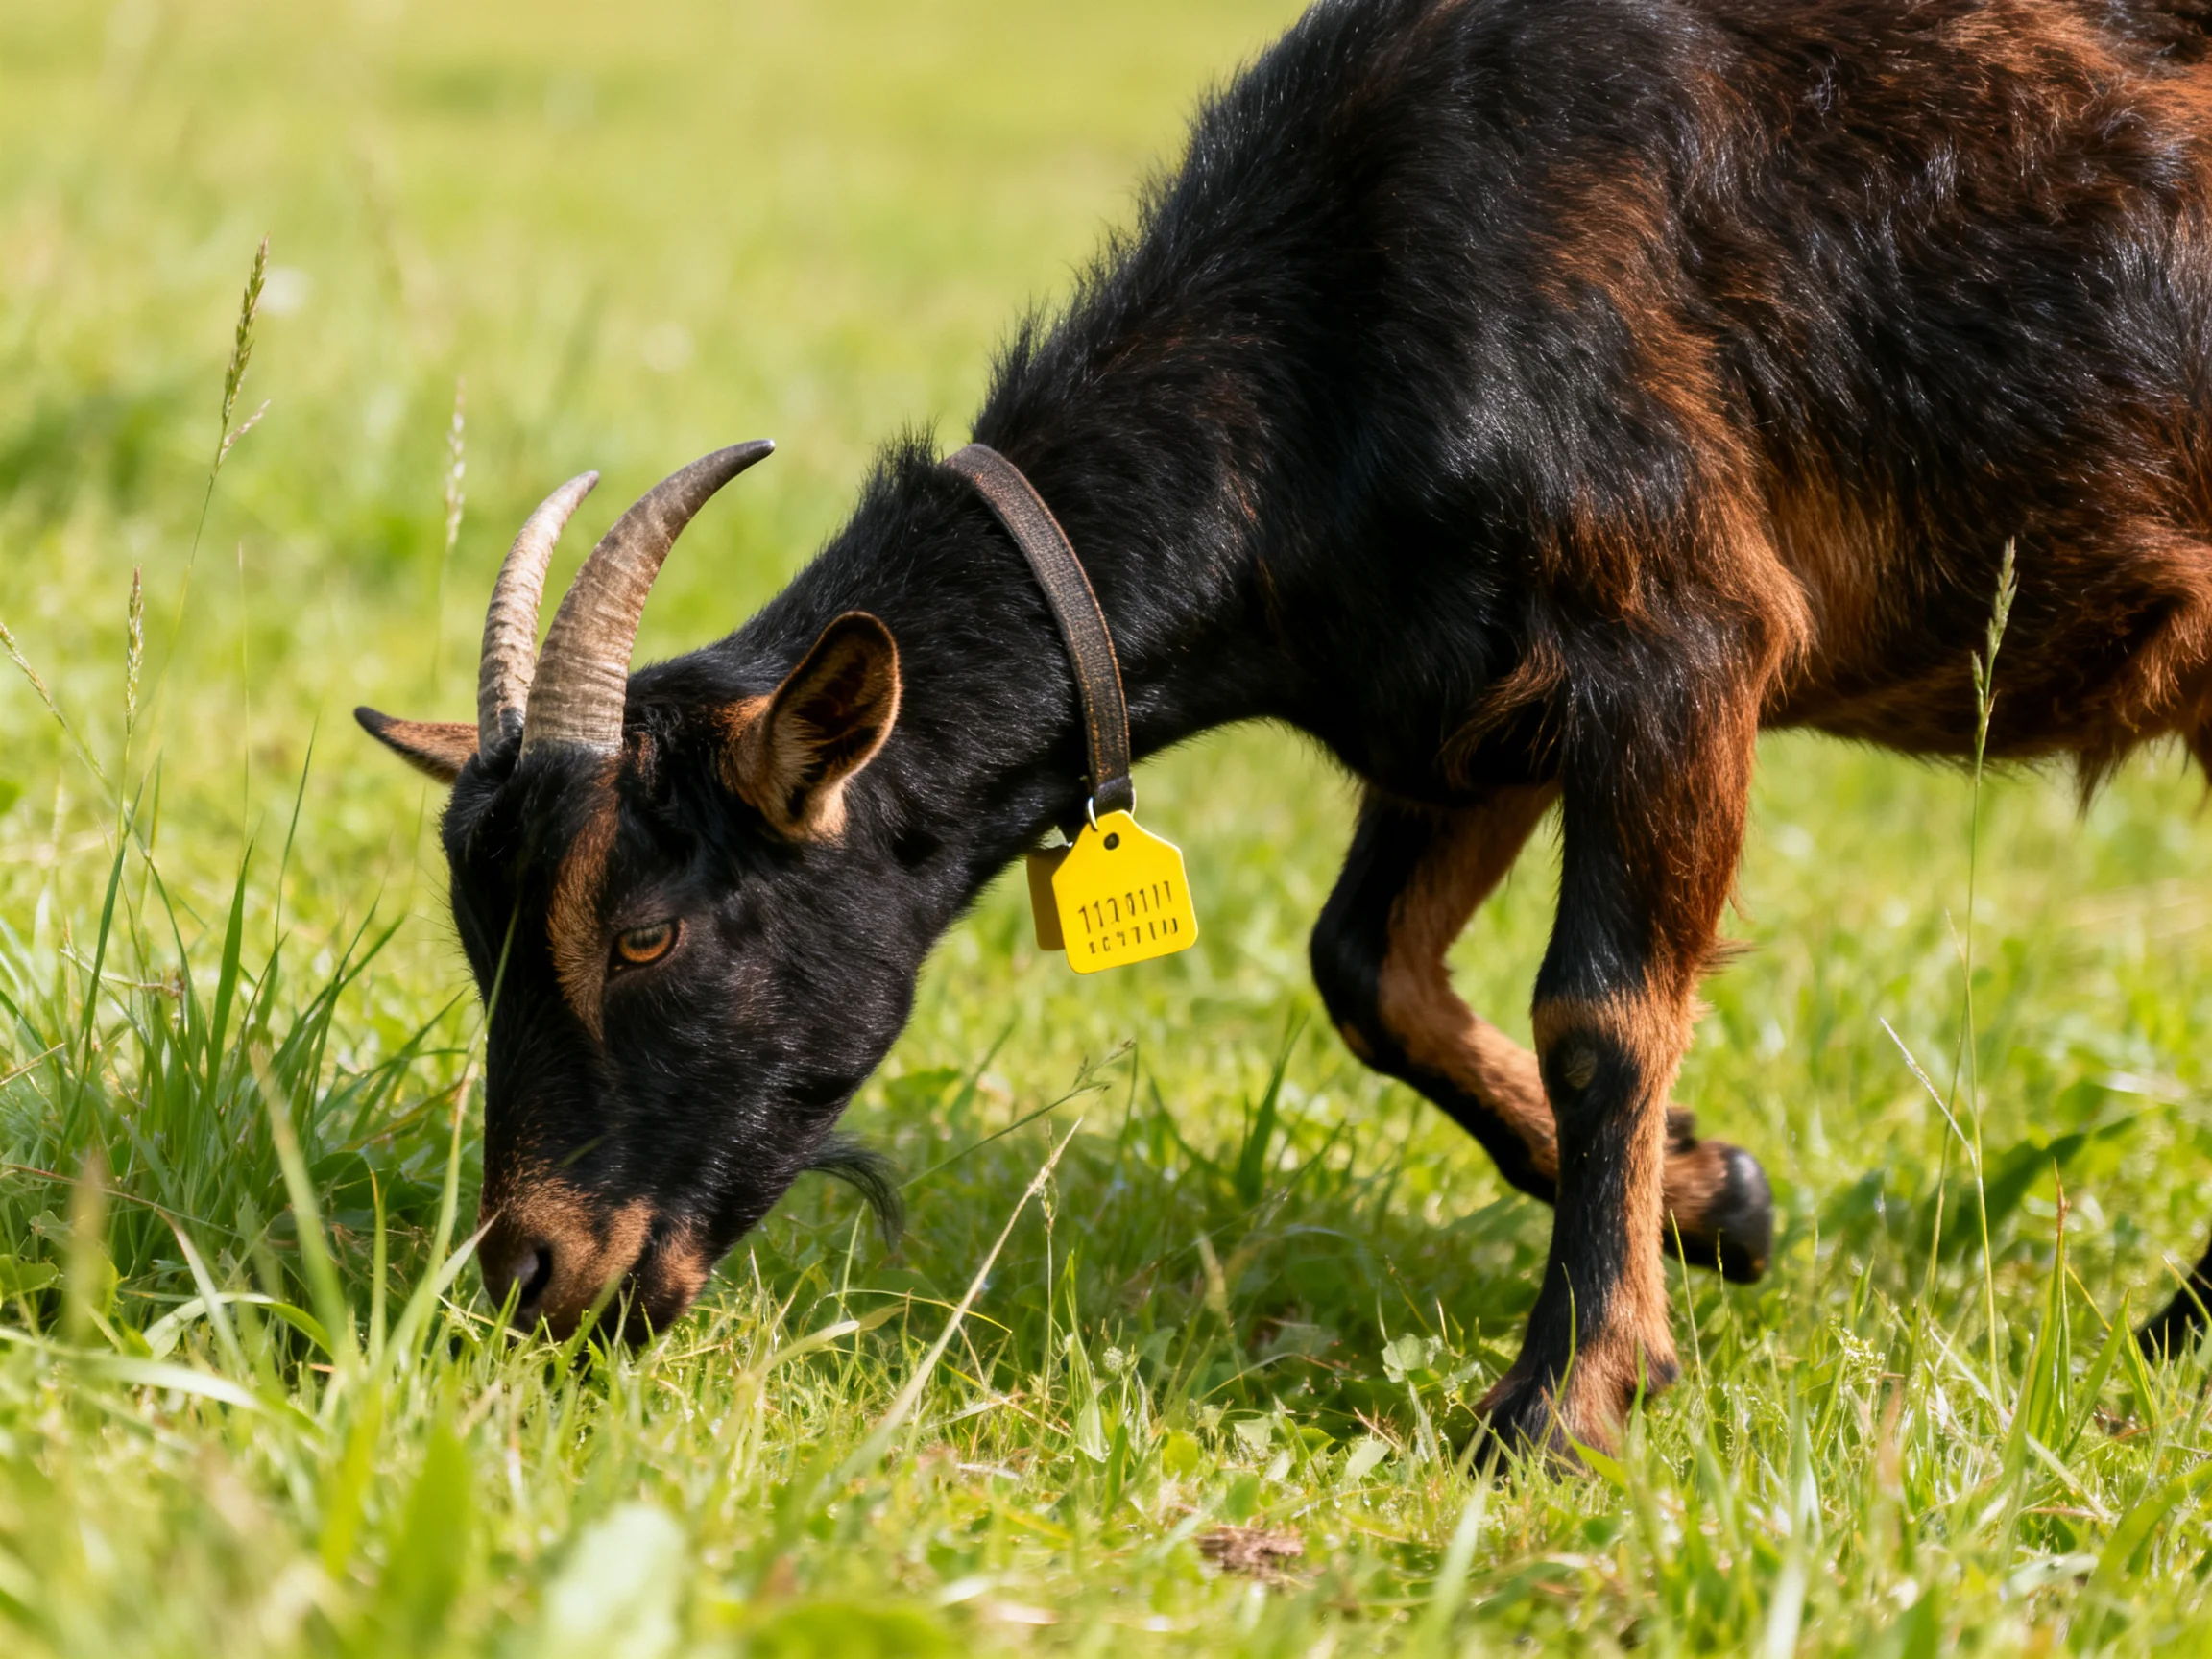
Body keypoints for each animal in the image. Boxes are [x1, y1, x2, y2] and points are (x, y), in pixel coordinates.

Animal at [361, 0, 2212, 1459]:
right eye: (475, 935)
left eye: (647, 930)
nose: (532, 1277)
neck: (1351, 300)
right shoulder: (1456, 709)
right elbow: (1367, 971)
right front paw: (1722, 1203)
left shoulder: (1679, 637)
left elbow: (1600, 1012)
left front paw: (1562, 1402)